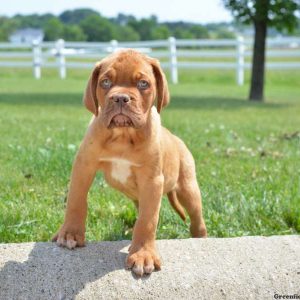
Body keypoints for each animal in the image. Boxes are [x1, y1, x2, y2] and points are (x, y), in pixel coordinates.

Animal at [52, 49, 207, 276]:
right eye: (105, 82)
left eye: (143, 83)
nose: (120, 98)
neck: (122, 135)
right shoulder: (84, 166)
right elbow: (76, 200)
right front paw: (70, 234)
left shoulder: (152, 181)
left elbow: (147, 220)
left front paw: (143, 255)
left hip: (188, 188)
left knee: (197, 218)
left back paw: (201, 238)